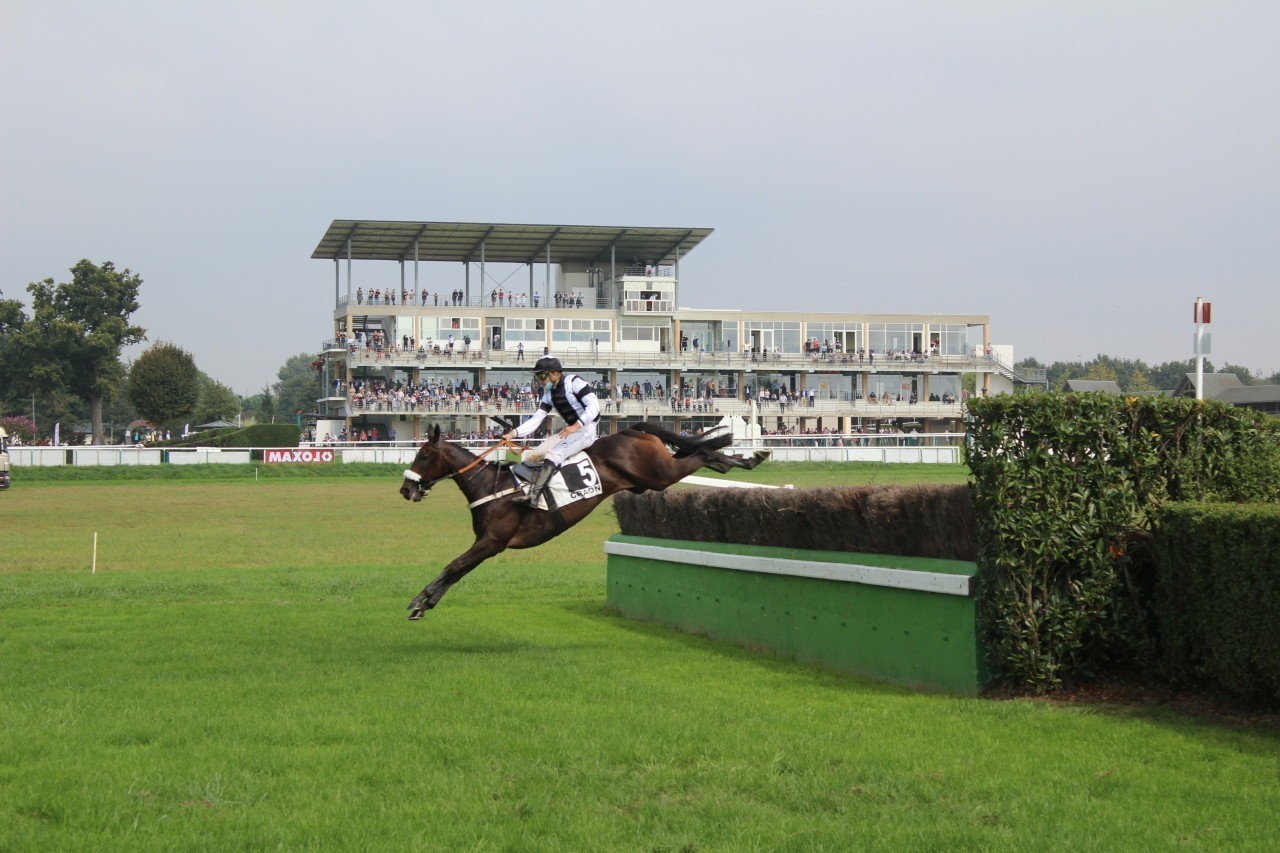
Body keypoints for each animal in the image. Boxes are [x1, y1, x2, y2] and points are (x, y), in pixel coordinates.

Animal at [394, 420, 762, 614]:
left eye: (423, 455)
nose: (406, 489)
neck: (492, 487)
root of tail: (633, 431)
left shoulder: (493, 541)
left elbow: (453, 565)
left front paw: (419, 600)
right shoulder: (485, 543)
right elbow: (457, 570)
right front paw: (425, 602)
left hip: (660, 475)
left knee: (702, 453)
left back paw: (746, 458)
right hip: (647, 481)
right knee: (703, 454)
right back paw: (739, 460)